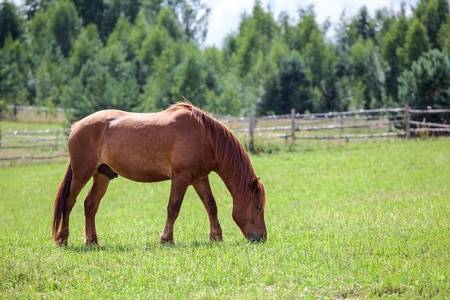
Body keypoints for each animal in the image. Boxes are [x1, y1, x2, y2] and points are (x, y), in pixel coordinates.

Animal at [51, 102, 268, 245]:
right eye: (257, 207)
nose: (262, 238)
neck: (206, 137)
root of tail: (76, 126)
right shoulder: (181, 177)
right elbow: (173, 208)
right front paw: (166, 239)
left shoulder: (199, 178)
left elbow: (211, 206)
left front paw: (216, 237)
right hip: (82, 173)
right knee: (69, 202)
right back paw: (62, 239)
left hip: (102, 175)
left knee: (90, 204)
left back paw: (92, 241)